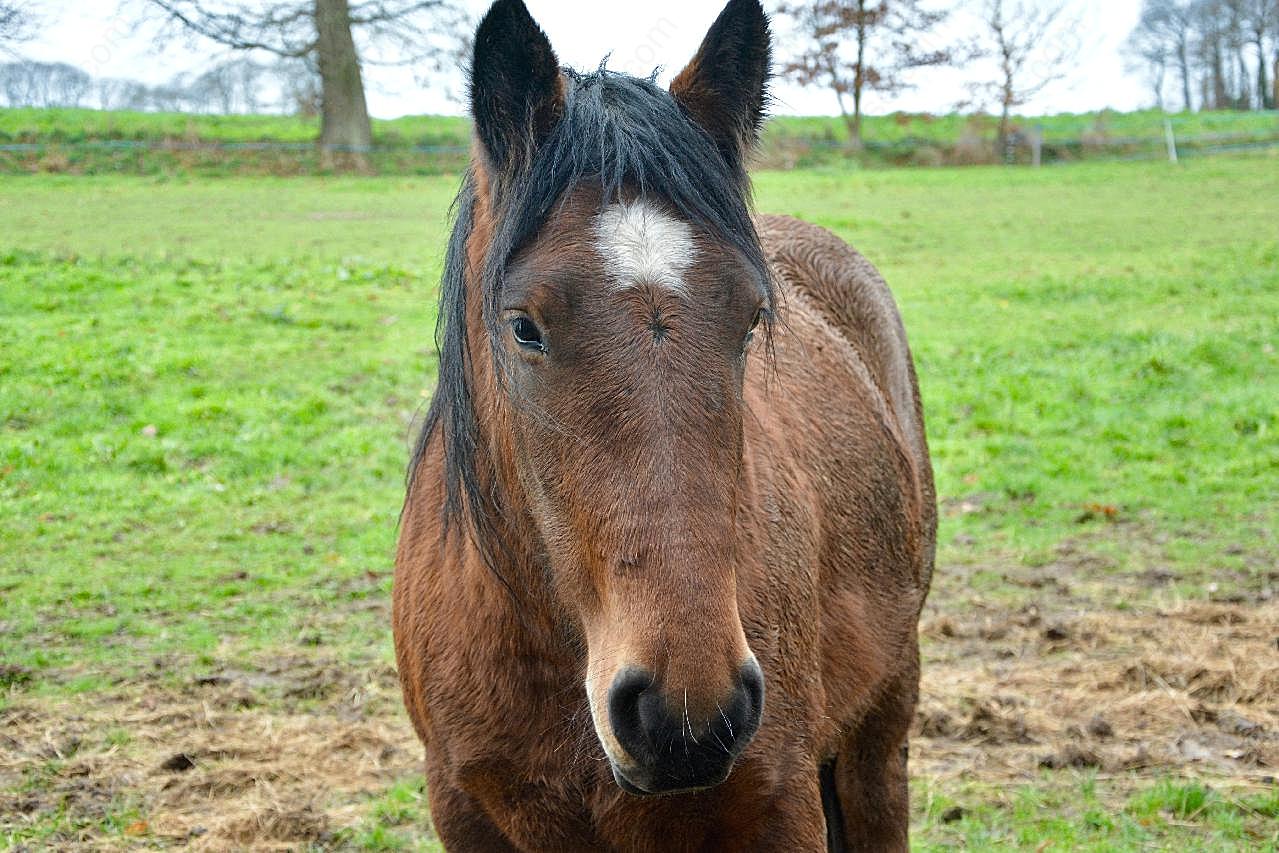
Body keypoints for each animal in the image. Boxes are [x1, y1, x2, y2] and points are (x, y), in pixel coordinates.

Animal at [391, 1, 941, 849]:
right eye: (523, 326)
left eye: (750, 318)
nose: (683, 713)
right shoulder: (462, 808)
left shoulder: (782, 805)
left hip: (880, 731)